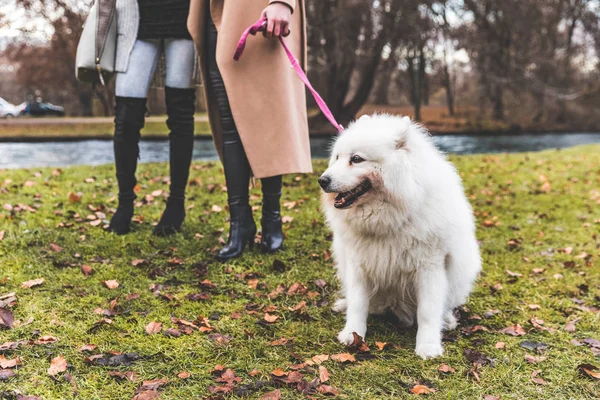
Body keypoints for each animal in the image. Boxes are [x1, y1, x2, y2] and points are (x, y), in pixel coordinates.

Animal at [318, 113, 482, 360]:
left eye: (356, 159)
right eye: (337, 157)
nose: (322, 180)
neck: (389, 218)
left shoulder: (430, 267)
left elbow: (427, 311)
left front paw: (428, 346)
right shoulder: (358, 264)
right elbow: (358, 304)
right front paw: (352, 334)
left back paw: (446, 320)